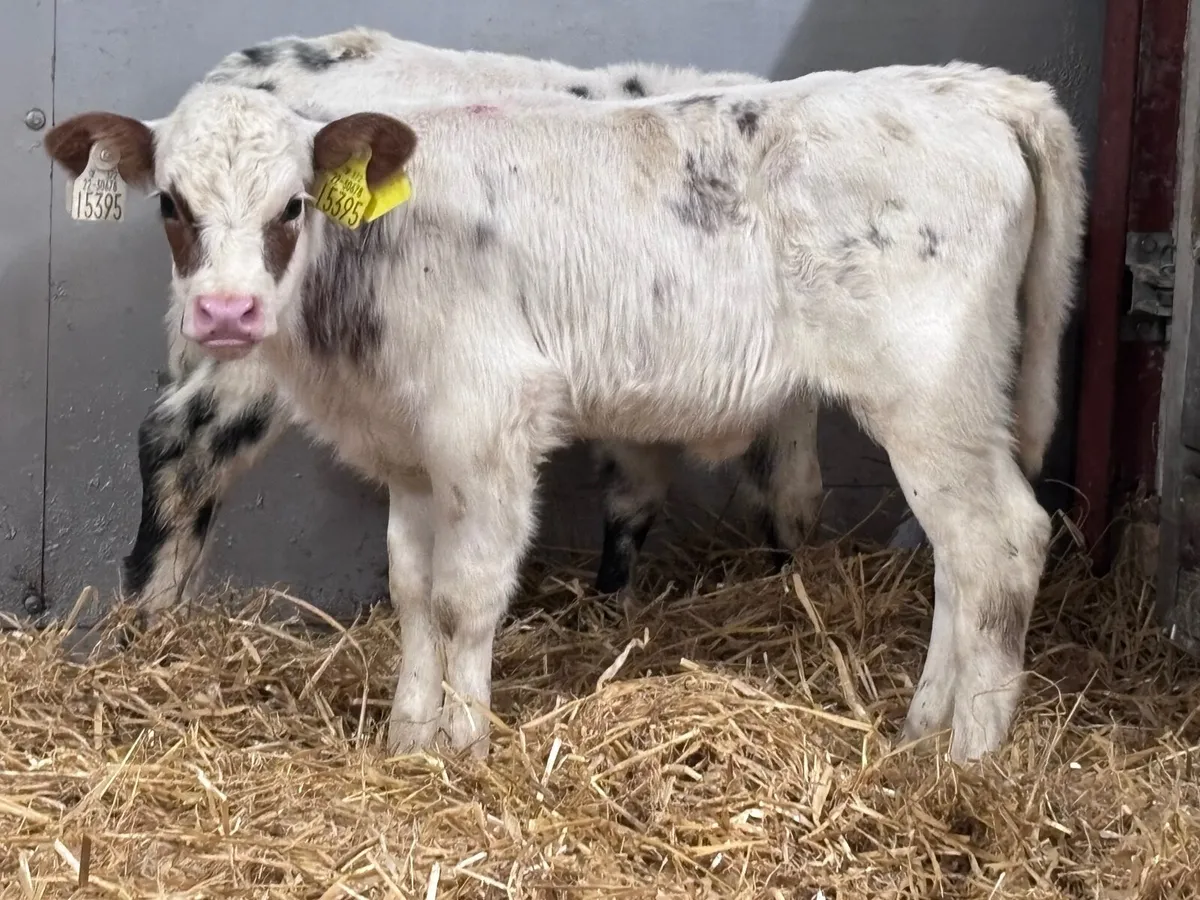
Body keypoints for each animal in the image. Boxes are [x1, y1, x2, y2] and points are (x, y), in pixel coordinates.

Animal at [123, 27, 837, 621]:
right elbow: (791, 493)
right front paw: (791, 589)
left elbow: (636, 494)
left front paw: (612, 607)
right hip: (245, 345)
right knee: (180, 446)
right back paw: (151, 623)